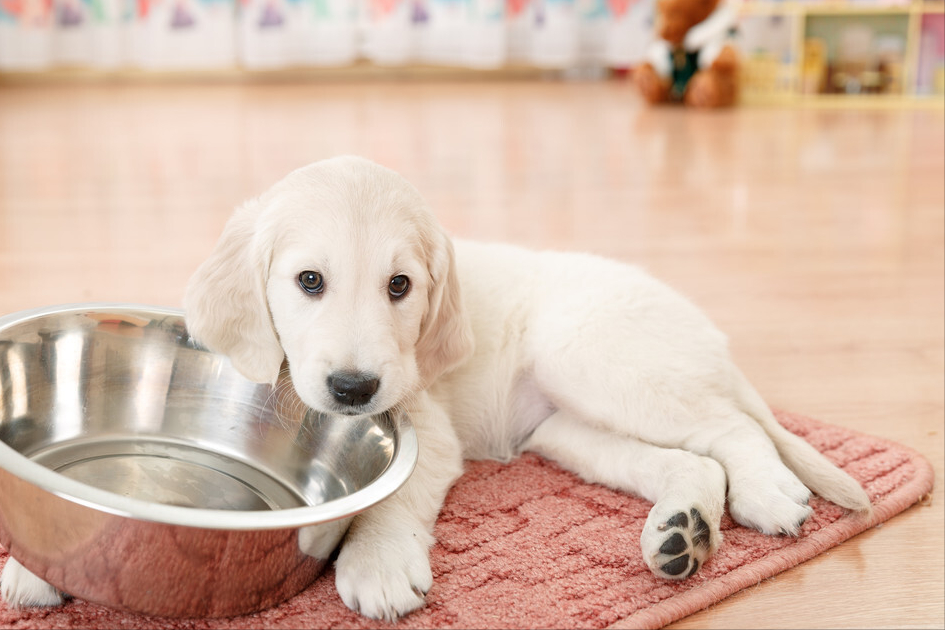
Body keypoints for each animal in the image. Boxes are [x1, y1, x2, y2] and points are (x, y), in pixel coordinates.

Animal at [1, 157, 872, 624]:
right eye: (308, 281)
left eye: (400, 286)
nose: (353, 388)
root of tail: (706, 335)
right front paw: (39, 562)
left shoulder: (424, 425)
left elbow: (390, 499)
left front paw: (379, 564)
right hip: (566, 433)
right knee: (690, 461)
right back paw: (681, 534)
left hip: (596, 359)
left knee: (732, 430)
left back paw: (766, 493)